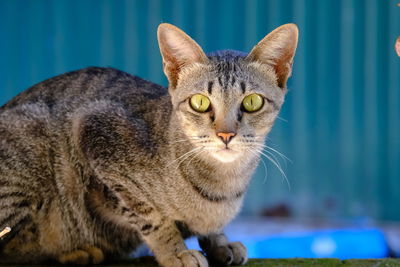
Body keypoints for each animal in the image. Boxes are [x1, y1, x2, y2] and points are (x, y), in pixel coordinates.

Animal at [0, 23, 296, 267]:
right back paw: (74, 252)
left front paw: (220, 243)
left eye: (252, 102)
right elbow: (150, 216)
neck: (223, 185)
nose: (225, 134)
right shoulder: (95, 131)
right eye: (199, 102)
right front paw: (175, 252)